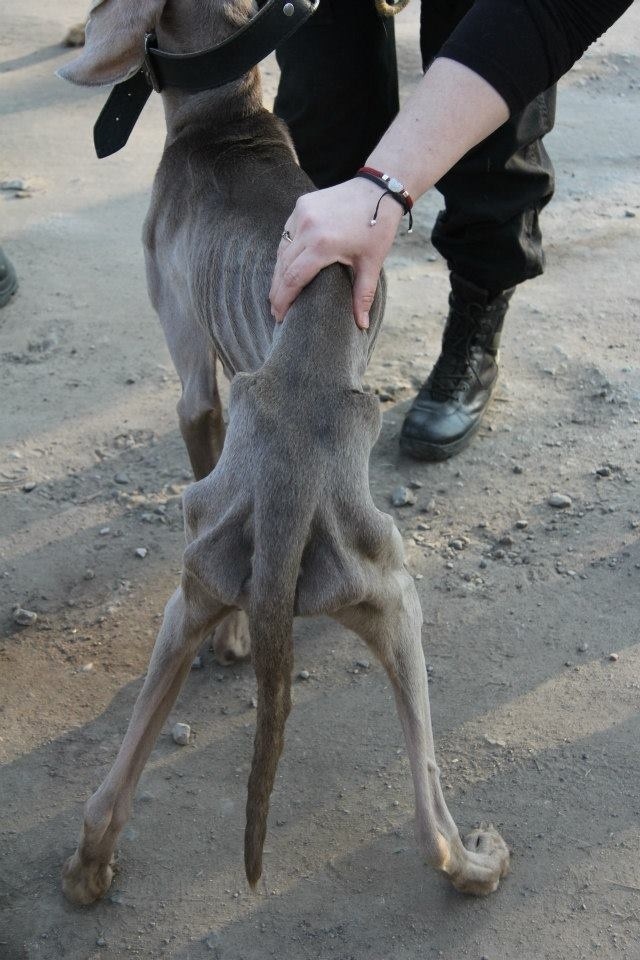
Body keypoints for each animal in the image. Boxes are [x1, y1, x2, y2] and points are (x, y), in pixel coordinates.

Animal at [60, 0, 510, 904]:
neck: (228, 124)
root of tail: (291, 484)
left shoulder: (193, 372)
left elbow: (196, 415)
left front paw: (233, 642)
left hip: (238, 578)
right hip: (370, 592)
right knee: (427, 820)